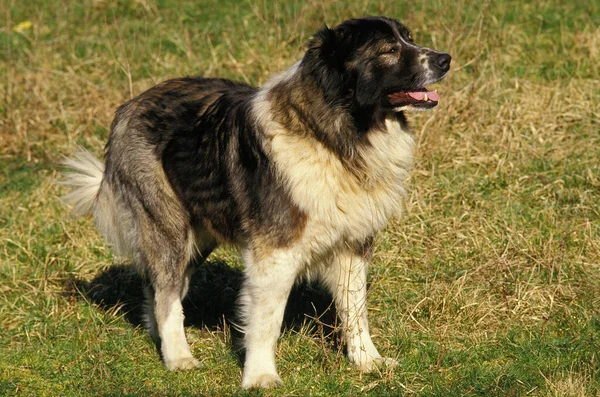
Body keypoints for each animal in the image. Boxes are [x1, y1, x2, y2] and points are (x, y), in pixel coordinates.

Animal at [63, 17, 450, 388]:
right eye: (388, 50)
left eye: (409, 38)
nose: (445, 60)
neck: (333, 136)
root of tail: (129, 106)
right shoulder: (275, 252)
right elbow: (266, 321)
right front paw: (260, 376)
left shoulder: (353, 243)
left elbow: (355, 309)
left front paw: (367, 361)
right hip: (168, 226)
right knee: (167, 294)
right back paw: (179, 358)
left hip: (197, 236)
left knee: (156, 287)